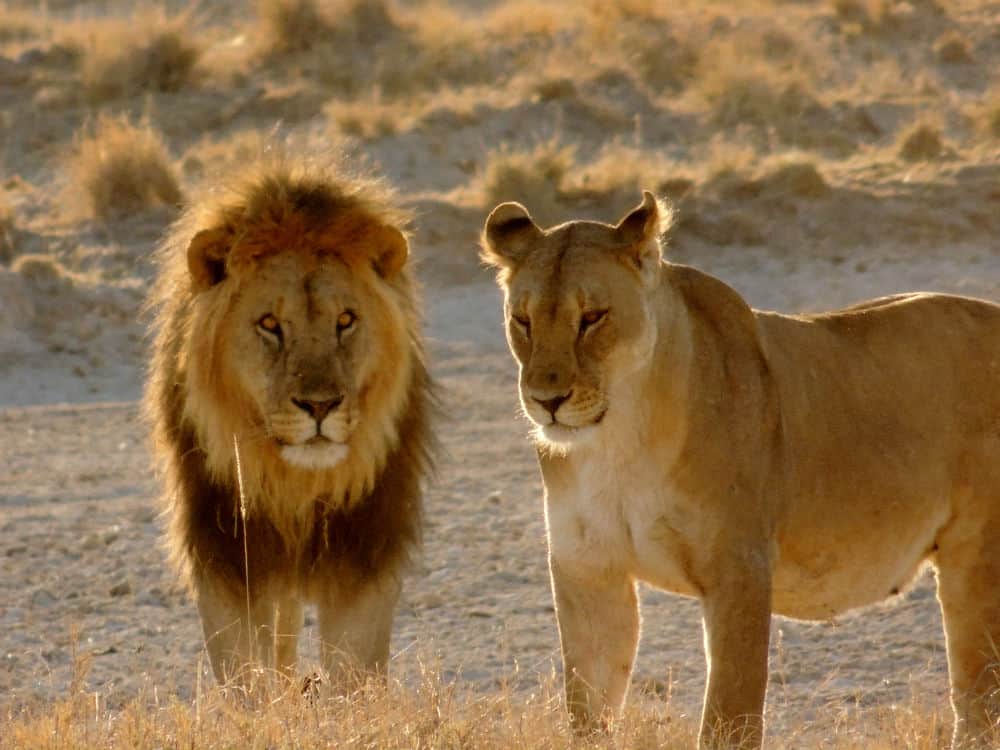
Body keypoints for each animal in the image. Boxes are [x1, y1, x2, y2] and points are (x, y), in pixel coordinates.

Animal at [145, 154, 434, 688]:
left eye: (346, 321)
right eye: (270, 325)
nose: (319, 406)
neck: (293, 481)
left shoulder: (364, 549)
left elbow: (354, 670)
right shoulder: (226, 554)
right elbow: (245, 673)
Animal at [481, 192, 1000, 749]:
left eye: (593, 317)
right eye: (523, 320)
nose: (546, 400)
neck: (617, 443)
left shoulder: (740, 570)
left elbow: (729, 717)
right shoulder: (588, 570)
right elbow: (588, 709)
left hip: (976, 562)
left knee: (978, 703)